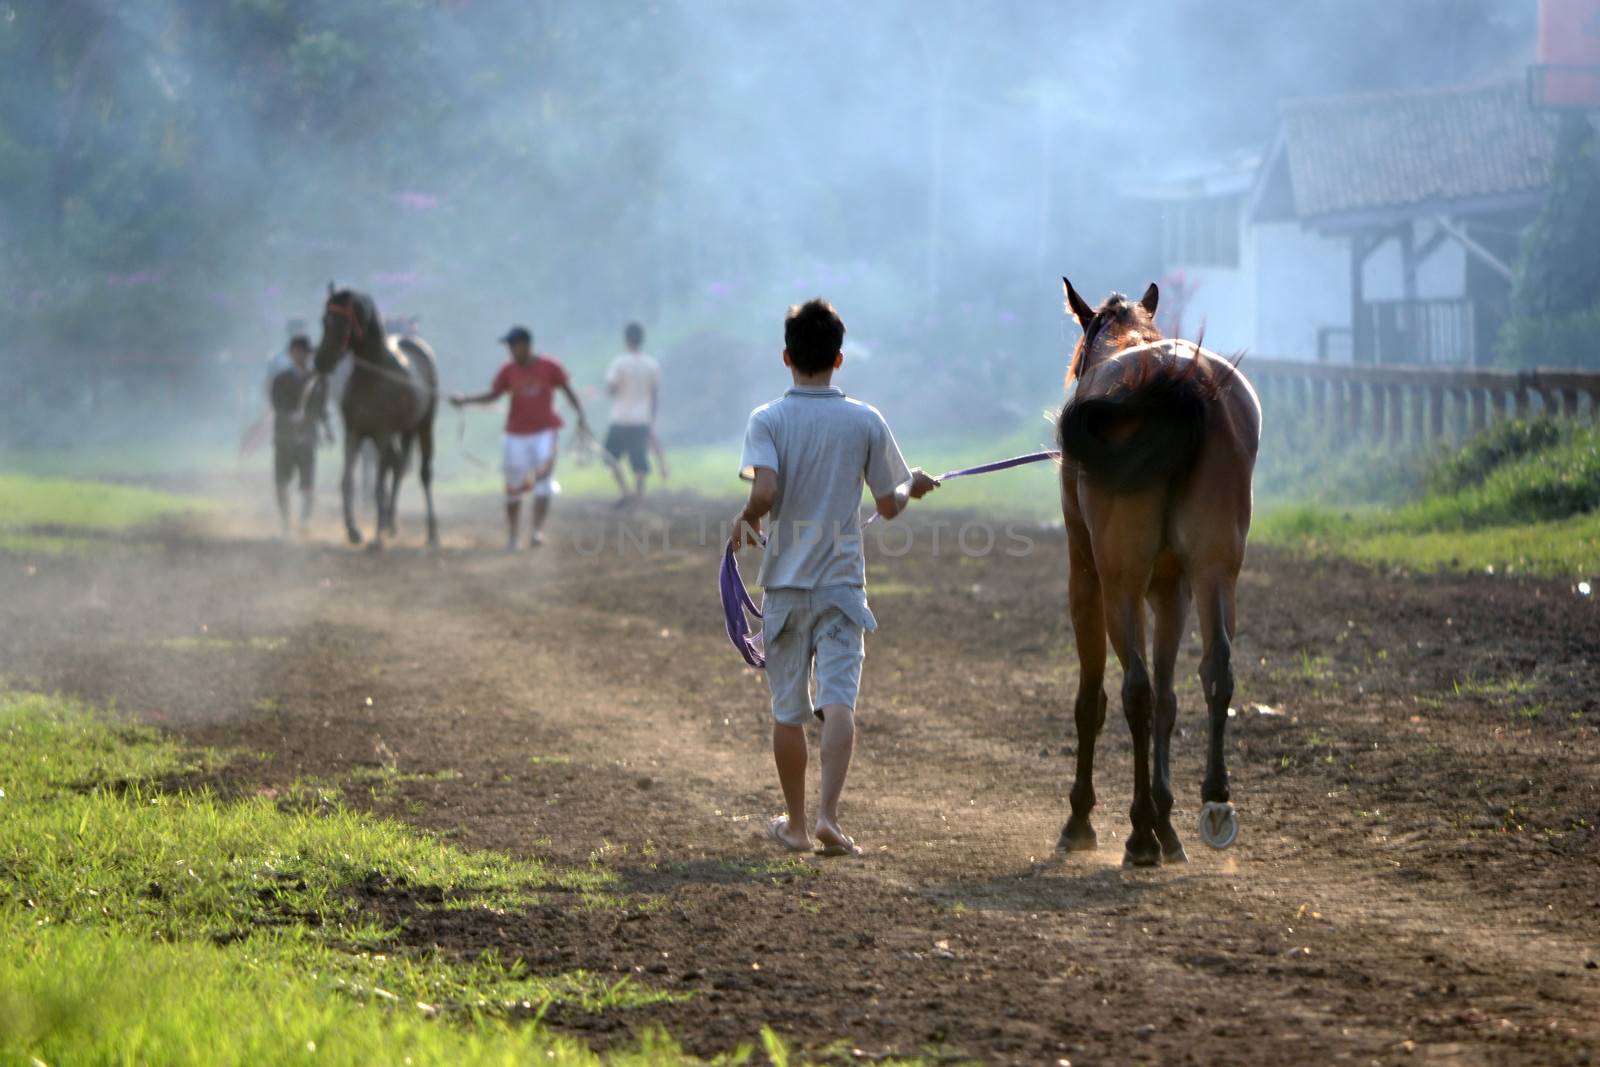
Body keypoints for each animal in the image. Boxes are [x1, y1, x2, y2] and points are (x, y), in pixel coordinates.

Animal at [312, 286, 441, 550]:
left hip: (424, 426)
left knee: (423, 473)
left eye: (342, 322)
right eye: (324, 320)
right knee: (399, 466)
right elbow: (348, 481)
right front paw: (353, 531)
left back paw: (431, 533)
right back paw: (391, 523)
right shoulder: (354, 432)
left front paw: (377, 537)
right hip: (405, 430)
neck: (372, 376)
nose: (321, 361)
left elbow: (379, 486)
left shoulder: (381, 434)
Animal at [1056, 278, 1254, 870]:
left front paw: (1084, 819)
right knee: (1215, 671)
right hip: (1215, 572)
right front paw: (1169, 825)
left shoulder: (1087, 580)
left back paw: (1139, 832)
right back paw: (1212, 800)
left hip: (1118, 583)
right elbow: (1170, 700)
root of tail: (1174, 383)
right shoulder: (1174, 589)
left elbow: (1094, 701)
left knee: (1134, 691)